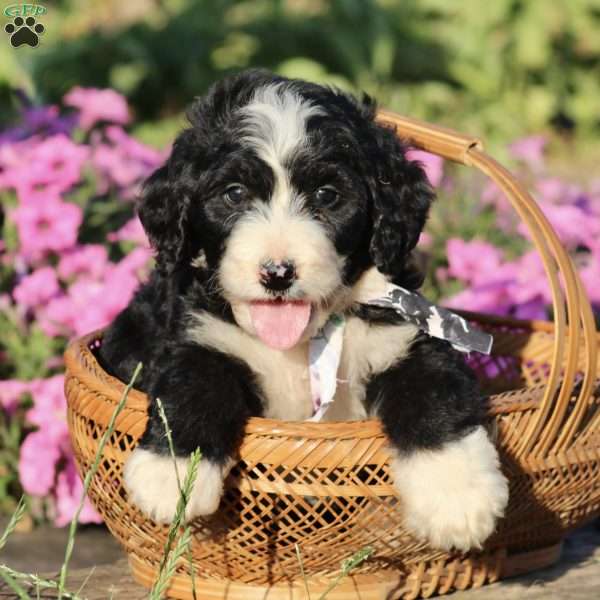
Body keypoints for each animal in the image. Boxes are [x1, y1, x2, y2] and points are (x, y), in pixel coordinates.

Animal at [101, 68, 508, 552]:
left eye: (327, 195)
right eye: (234, 194)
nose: (277, 273)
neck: (303, 339)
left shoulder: (405, 338)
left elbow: (433, 394)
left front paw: (459, 498)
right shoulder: (199, 337)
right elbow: (193, 384)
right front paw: (171, 476)